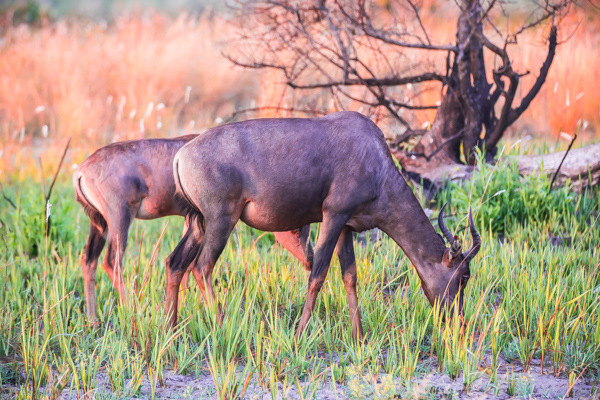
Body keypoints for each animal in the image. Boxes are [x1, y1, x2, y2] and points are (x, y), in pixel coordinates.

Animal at [73, 137, 314, 322]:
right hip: (120, 218)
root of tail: (80, 172)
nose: (310, 261)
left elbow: (184, 265)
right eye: (296, 229)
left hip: (100, 224)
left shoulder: (190, 219)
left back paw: (93, 320)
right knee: (112, 261)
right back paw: (135, 311)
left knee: (88, 259)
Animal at [165, 111, 482, 340]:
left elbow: (350, 276)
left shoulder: (346, 226)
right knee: (202, 266)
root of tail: (181, 156)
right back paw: (224, 329)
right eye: (463, 276)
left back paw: (171, 330)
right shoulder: (333, 215)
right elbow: (317, 274)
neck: (372, 155)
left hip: (197, 223)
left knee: (175, 263)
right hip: (221, 219)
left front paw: (359, 338)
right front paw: (299, 337)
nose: (459, 325)